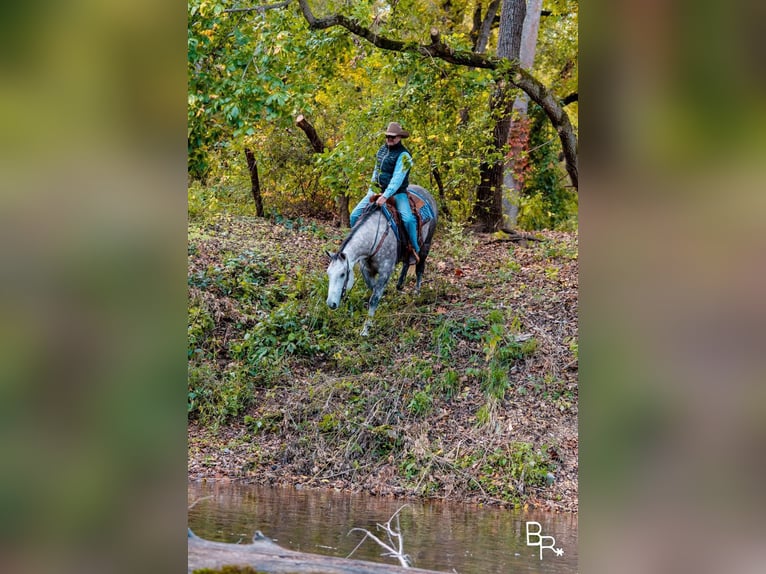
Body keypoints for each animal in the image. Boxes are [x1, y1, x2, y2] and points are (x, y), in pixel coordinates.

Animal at [328, 184, 440, 338]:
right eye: (328, 274)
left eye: (342, 274)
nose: (331, 304)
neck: (373, 236)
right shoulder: (366, 269)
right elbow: (373, 288)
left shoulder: (385, 270)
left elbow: (374, 298)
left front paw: (365, 329)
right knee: (407, 262)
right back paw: (399, 286)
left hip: (426, 245)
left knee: (419, 268)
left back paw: (417, 293)